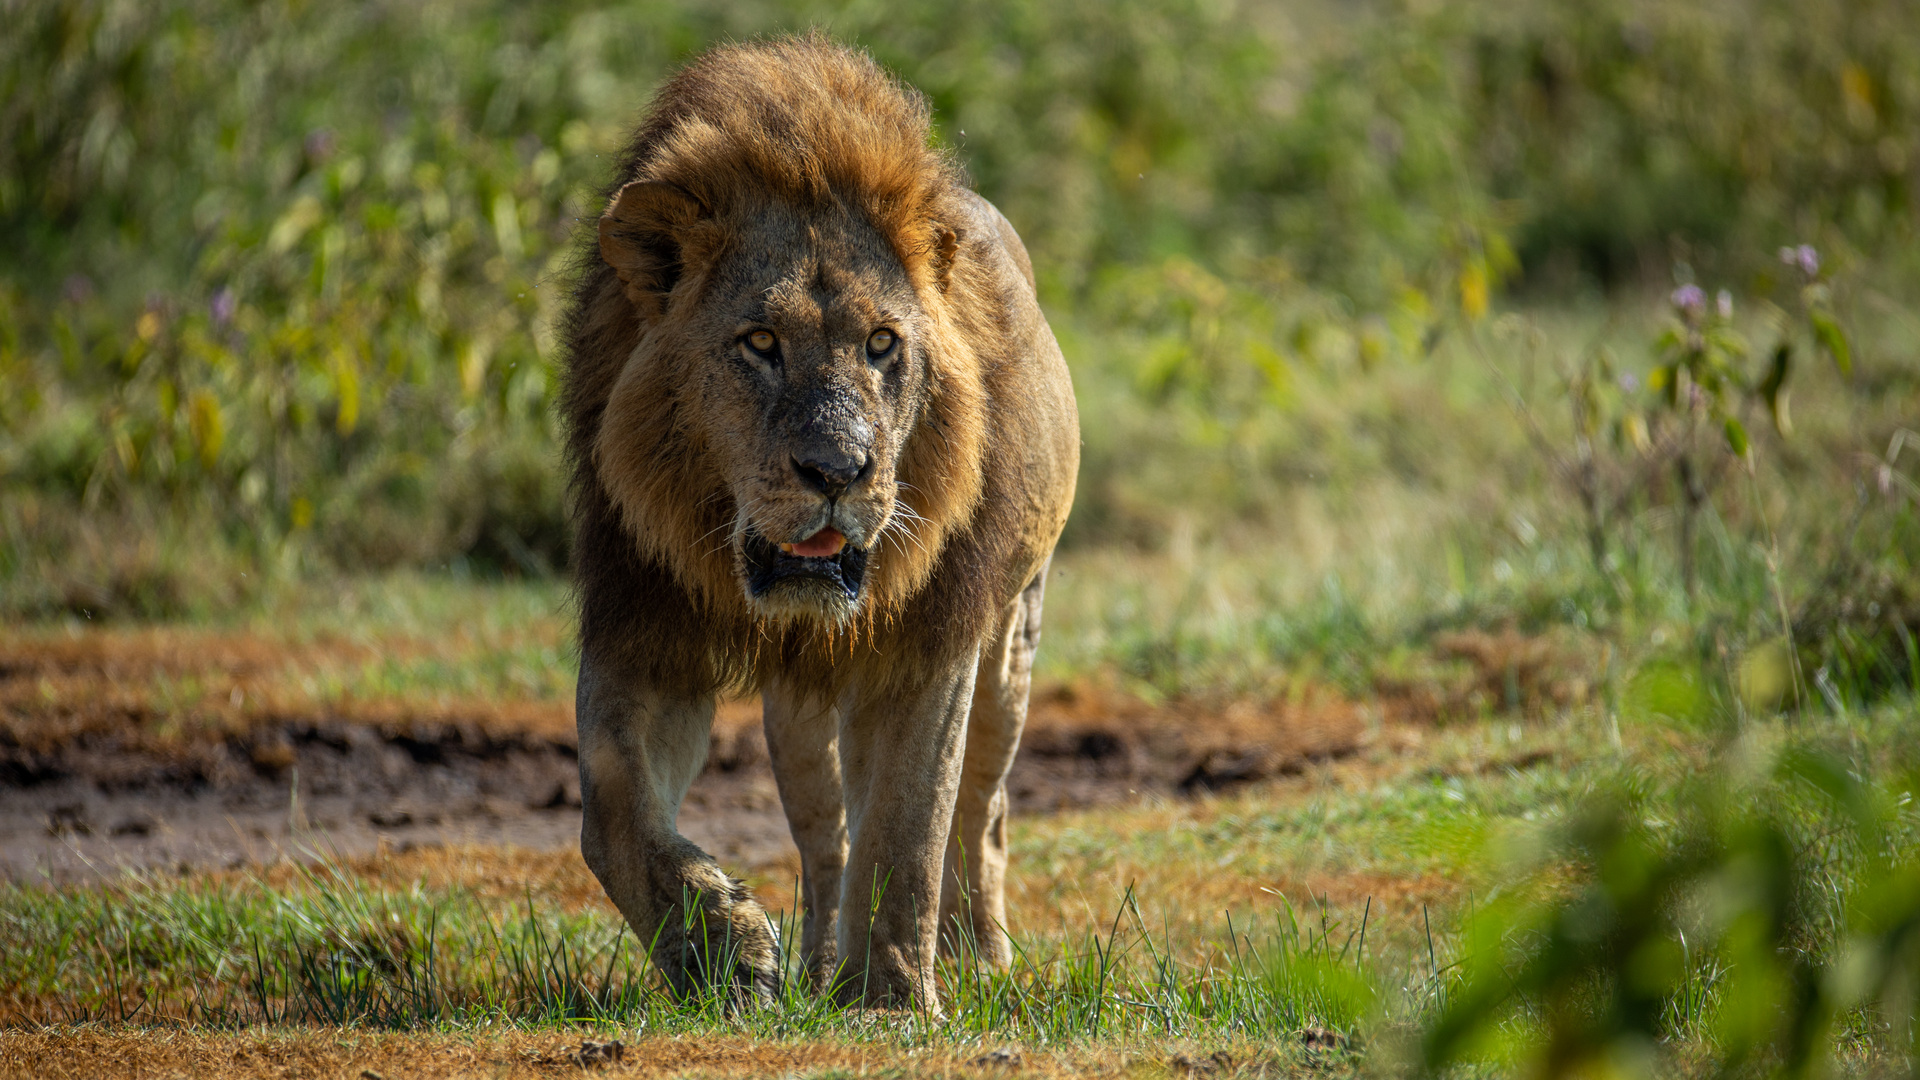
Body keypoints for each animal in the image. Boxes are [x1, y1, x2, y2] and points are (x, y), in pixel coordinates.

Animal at [560, 35, 1090, 1006]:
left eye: (883, 344)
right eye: (759, 344)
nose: (839, 472)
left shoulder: (931, 640)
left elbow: (909, 829)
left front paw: (892, 997)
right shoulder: (644, 617)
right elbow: (610, 807)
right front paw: (725, 951)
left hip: (1012, 646)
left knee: (982, 810)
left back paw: (978, 954)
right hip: (794, 715)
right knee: (824, 836)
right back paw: (814, 965)